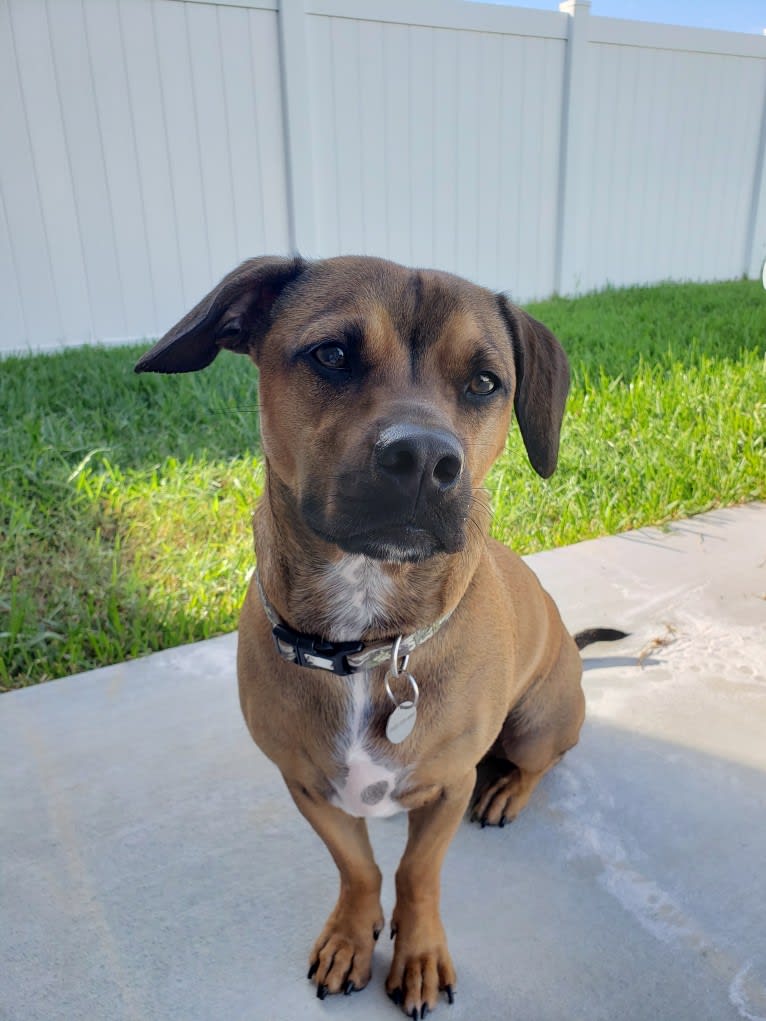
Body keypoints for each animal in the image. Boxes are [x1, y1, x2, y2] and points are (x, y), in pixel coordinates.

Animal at [136, 255, 625, 1012]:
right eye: (332, 354)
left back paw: (508, 789)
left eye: (485, 381)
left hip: (535, 723)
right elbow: (360, 869)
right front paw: (351, 935)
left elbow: (417, 874)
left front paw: (418, 952)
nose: (424, 459)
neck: (370, 639)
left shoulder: (447, 786)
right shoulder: (308, 785)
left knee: (542, 759)